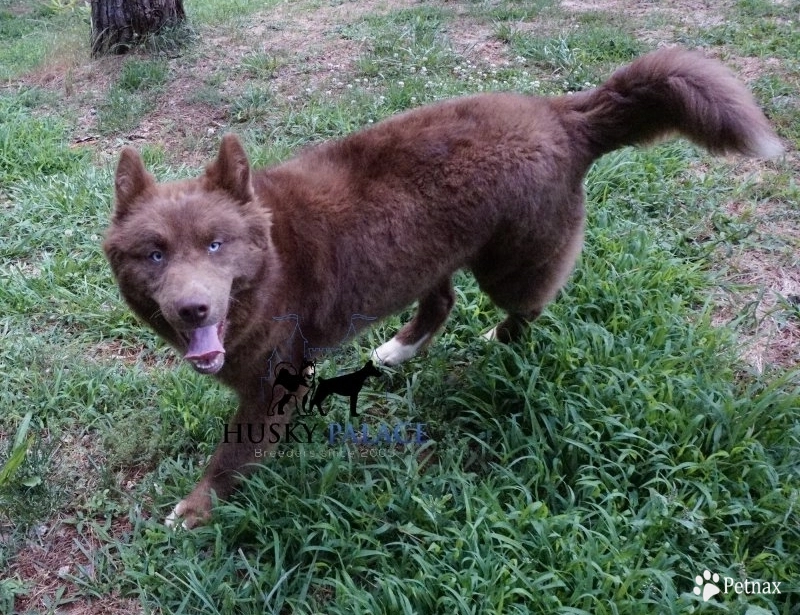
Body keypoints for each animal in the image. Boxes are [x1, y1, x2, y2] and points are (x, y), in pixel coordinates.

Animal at [101, 49, 780, 528]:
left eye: (216, 244)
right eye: (154, 253)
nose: (193, 308)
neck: (271, 262)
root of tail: (562, 113)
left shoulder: (272, 384)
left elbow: (232, 454)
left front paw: (195, 509)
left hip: (510, 264)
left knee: (527, 305)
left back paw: (501, 339)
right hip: (429, 255)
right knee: (443, 301)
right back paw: (398, 351)